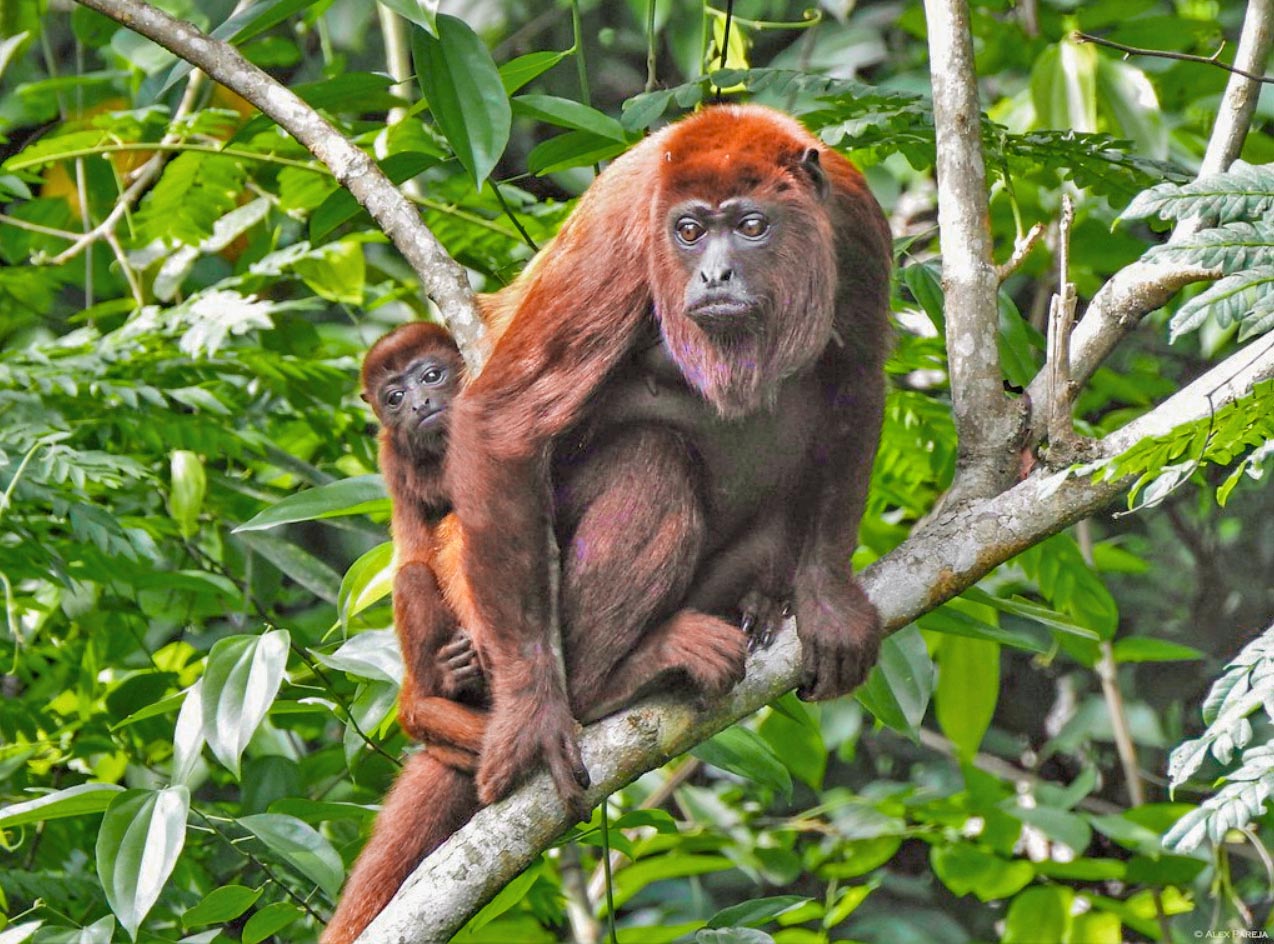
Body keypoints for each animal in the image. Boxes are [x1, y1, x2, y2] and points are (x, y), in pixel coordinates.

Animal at [453, 103, 891, 810]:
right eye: (688, 231)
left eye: (750, 226)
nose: (714, 275)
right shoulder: (617, 241)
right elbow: (504, 422)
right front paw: (531, 715)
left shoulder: (856, 222)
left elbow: (855, 378)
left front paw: (827, 598)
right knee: (651, 462)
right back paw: (610, 684)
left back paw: (762, 601)